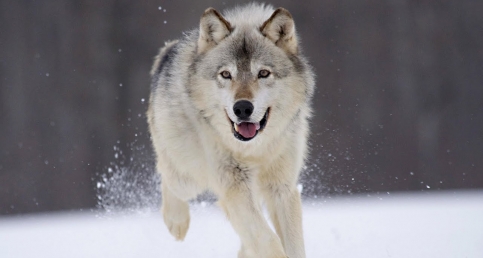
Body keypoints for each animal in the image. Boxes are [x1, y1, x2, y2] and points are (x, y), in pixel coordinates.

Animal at [147, 2, 314, 258]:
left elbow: (290, 244)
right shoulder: (234, 186)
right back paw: (176, 222)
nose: (243, 108)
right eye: (226, 74)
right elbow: (268, 240)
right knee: (166, 174)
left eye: (263, 73)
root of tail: (168, 52)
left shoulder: (282, 188)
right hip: (188, 177)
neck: (255, 149)